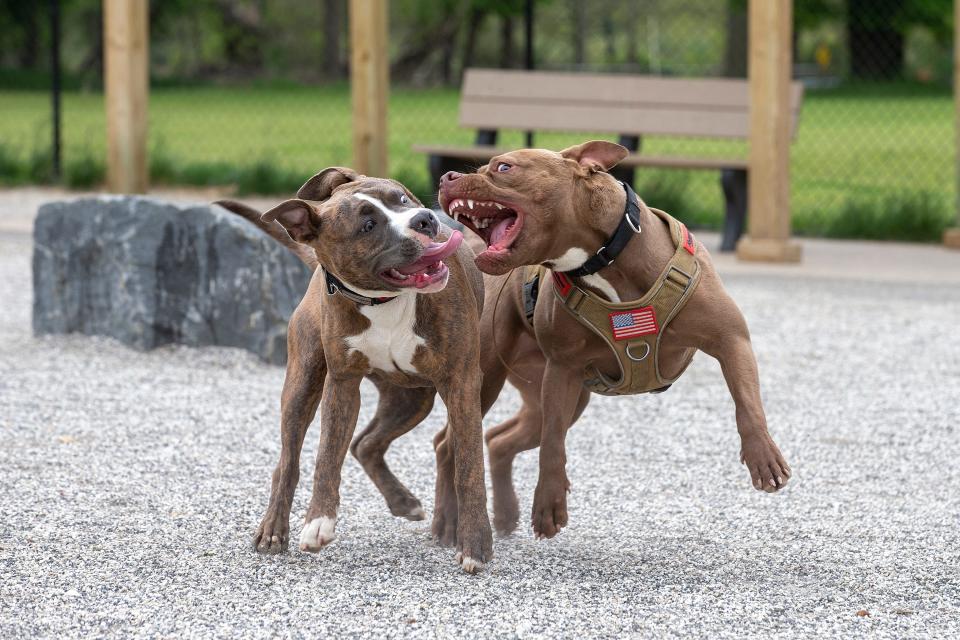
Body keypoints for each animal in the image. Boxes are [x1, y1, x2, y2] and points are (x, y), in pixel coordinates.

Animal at [214, 168, 492, 572]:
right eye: (368, 225)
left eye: (402, 198)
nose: (425, 219)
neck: (385, 302)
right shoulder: (342, 384)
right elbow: (327, 454)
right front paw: (318, 521)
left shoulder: (461, 382)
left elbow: (469, 465)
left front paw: (474, 544)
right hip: (303, 383)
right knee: (289, 461)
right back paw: (273, 530)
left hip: (412, 398)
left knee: (366, 444)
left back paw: (402, 501)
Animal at [434, 141, 788, 540]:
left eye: (504, 167)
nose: (447, 176)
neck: (603, 259)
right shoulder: (562, 370)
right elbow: (553, 444)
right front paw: (549, 503)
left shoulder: (730, 339)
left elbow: (748, 404)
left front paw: (763, 457)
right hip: (487, 378)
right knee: (450, 444)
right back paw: (447, 523)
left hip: (555, 397)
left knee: (497, 439)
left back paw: (505, 514)